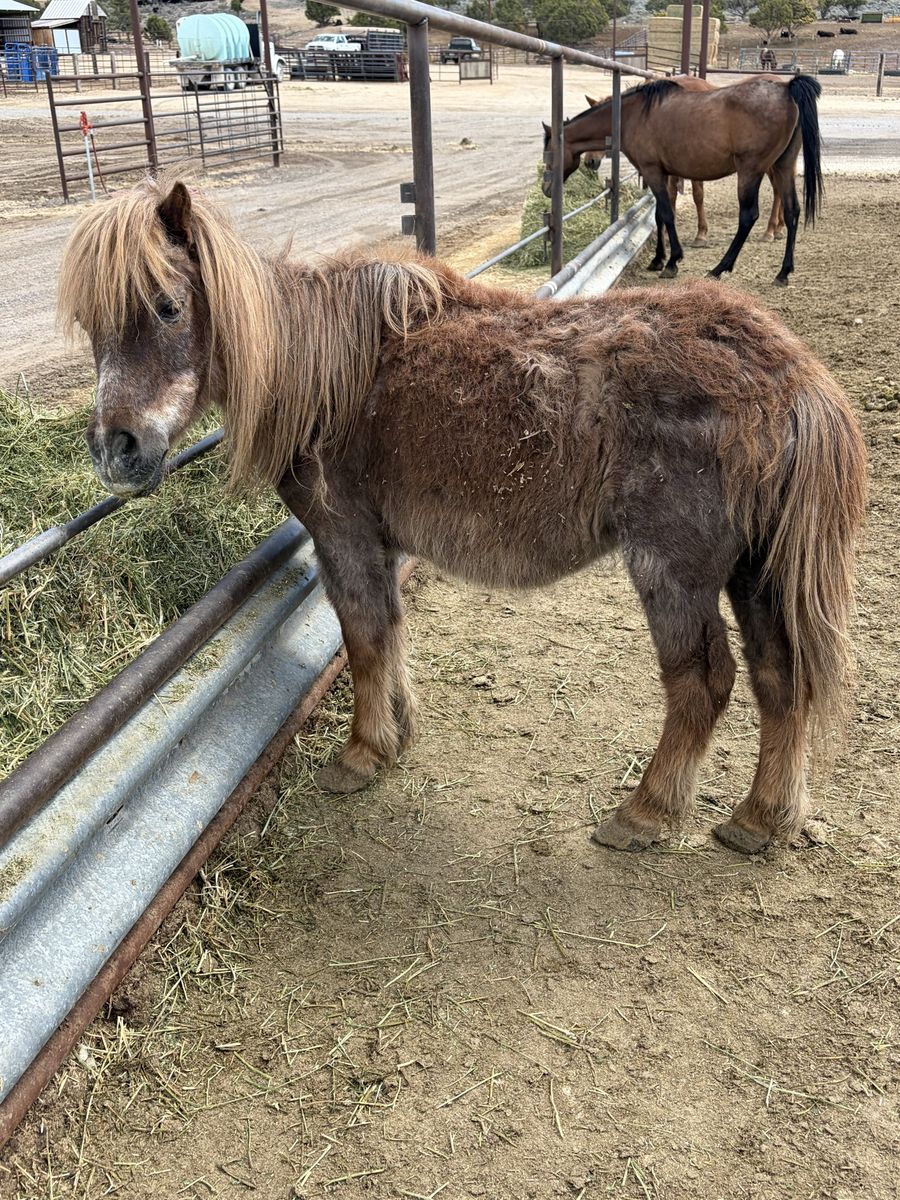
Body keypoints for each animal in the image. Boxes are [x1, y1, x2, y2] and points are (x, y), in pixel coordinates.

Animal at [58, 177, 866, 856]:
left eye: (167, 306)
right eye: (93, 324)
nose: (116, 449)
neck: (323, 368)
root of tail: (791, 375)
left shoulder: (344, 538)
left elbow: (363, 638)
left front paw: (361, 753)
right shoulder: (379, 546)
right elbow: (386, 631)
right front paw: (396, 734)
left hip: (676, 574)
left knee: (703, 683)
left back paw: (646, 813)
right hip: (755, 573)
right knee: (781, 678)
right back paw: (759, 821)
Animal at [583, 83, 786, 245]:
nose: (589, 162)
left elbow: (697, 196)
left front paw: (701, 234)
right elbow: (671, 195)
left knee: (777, 189)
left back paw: (771, 230)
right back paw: (779, 227)